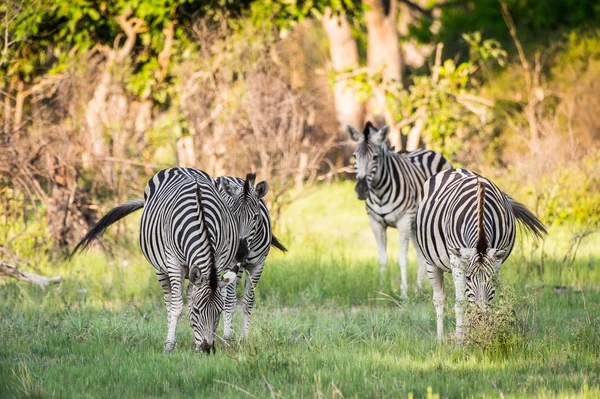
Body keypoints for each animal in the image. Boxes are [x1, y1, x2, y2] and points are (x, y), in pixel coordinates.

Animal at [71, 168, 264, 354]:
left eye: (218, 311)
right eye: (196, 310)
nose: (208, 348)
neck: (201, 220)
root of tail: (181, 168)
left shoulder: (219, 259)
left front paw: (198, 342)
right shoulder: (174, 263)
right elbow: (177, 307)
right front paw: (170, 345)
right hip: (161, 268)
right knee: (169, 301)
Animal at [216, 174, 288, 340]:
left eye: (255, 217)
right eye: (233, 215)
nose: (240, 253)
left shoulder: (258, 266)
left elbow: (248, 302)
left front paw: (244, 338)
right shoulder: (231, 263)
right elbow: (230, 302)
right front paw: (229, 336)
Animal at [350, 123, 452, 298]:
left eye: (375, 157)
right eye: (355, 156)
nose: (361, 190)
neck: (379, 191)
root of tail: (428, 150)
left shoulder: (404, 220)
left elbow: (402, 258)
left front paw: (404, 293)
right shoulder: (375, 222)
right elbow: (382, 258)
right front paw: (382, 291)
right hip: (417, 226)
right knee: (421, 255)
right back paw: (419, 289)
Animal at [414, 167, 548, 342]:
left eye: (491, 279)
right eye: (469, 278)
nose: (481, 319)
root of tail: (455, 169)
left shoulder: (496, 259)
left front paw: (478, 337)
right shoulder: (457, 258)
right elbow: (461, 303)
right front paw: (460, 341)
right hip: (431, 261)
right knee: (439, 299)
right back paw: (441, 339)